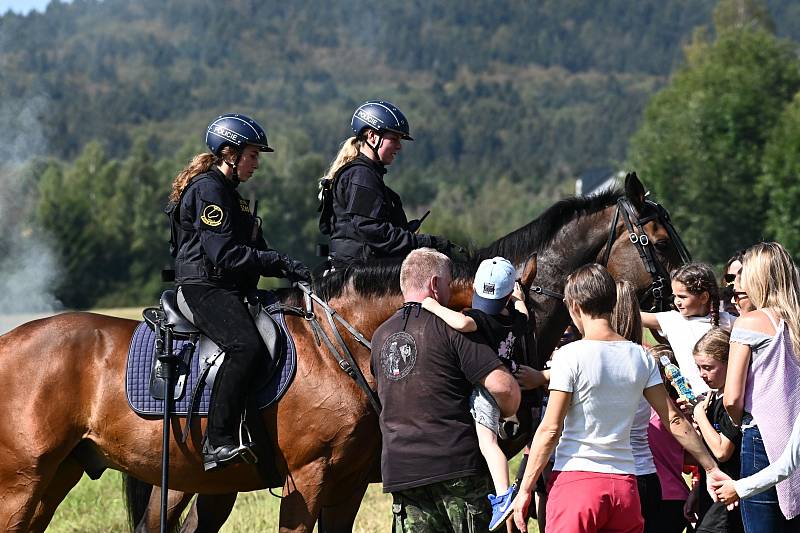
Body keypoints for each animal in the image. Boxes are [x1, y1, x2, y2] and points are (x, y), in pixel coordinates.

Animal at [0, 172, 684, 528]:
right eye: (657, 238)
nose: (688, 291)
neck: (348, 345)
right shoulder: (308, 482)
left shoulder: (350, 483)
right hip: (30, 485)